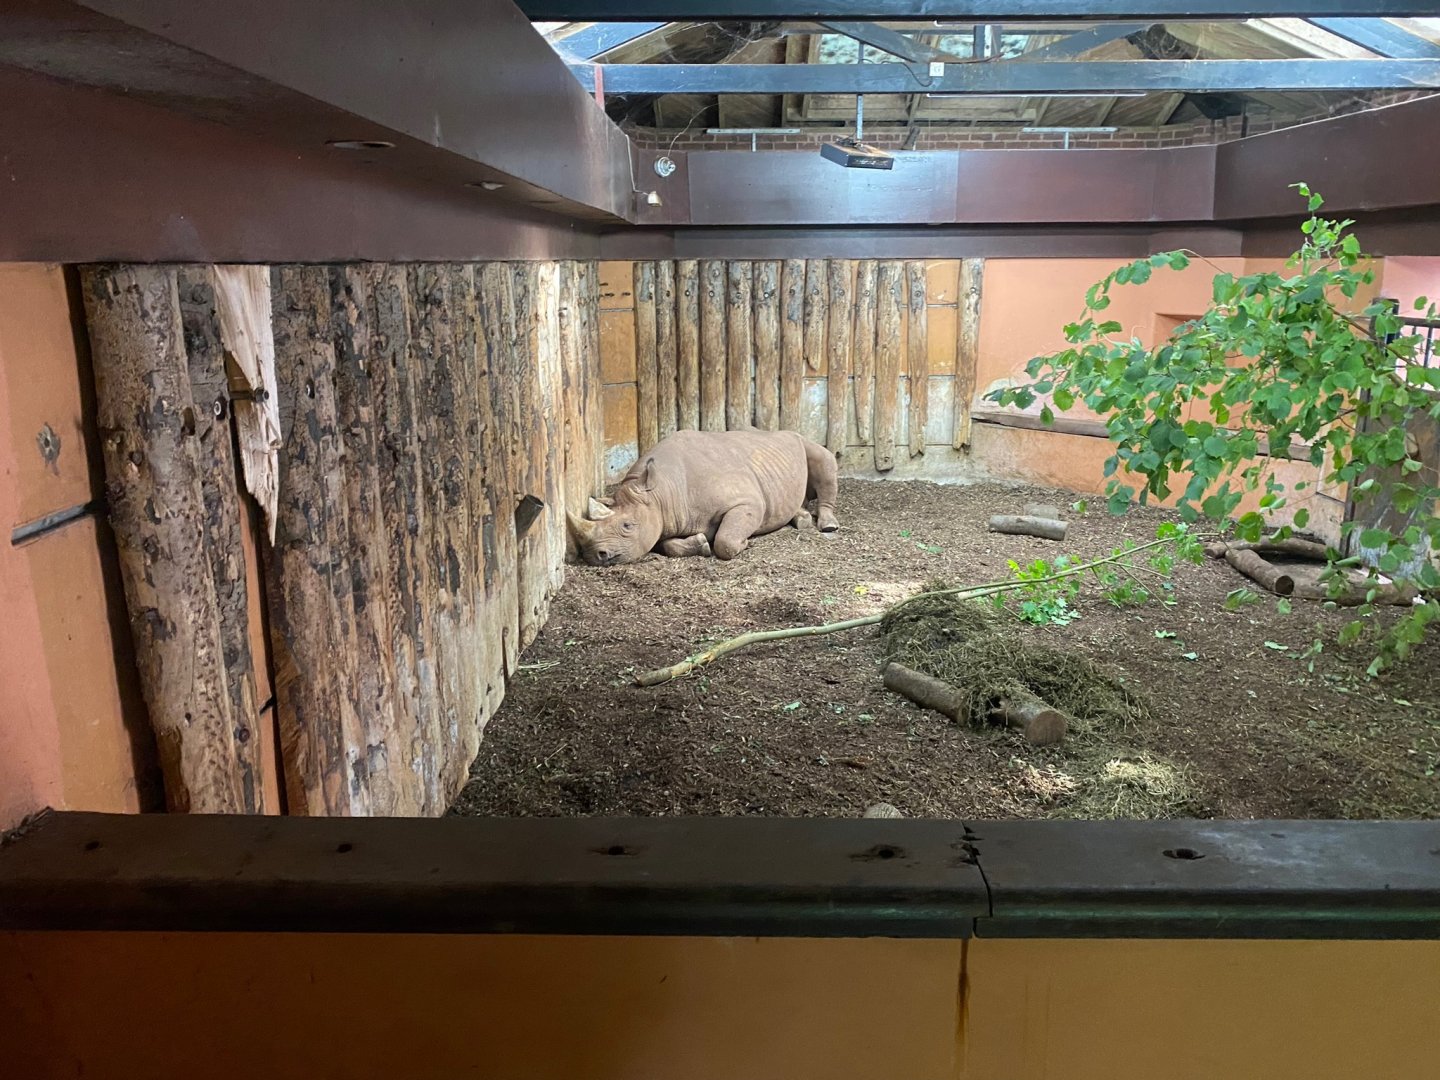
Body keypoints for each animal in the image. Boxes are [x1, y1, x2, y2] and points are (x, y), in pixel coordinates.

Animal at [568, 428, 840, 566]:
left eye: (627, 526)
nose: (594, 555)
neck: (661, 491)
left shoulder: (748, 502)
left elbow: (725, 541)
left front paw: (745, 542)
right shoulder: (662, 519)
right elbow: (669, 545)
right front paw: (701, 543)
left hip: (802, 441)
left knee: (825, 459)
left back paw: (827, 526)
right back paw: (801, 518)